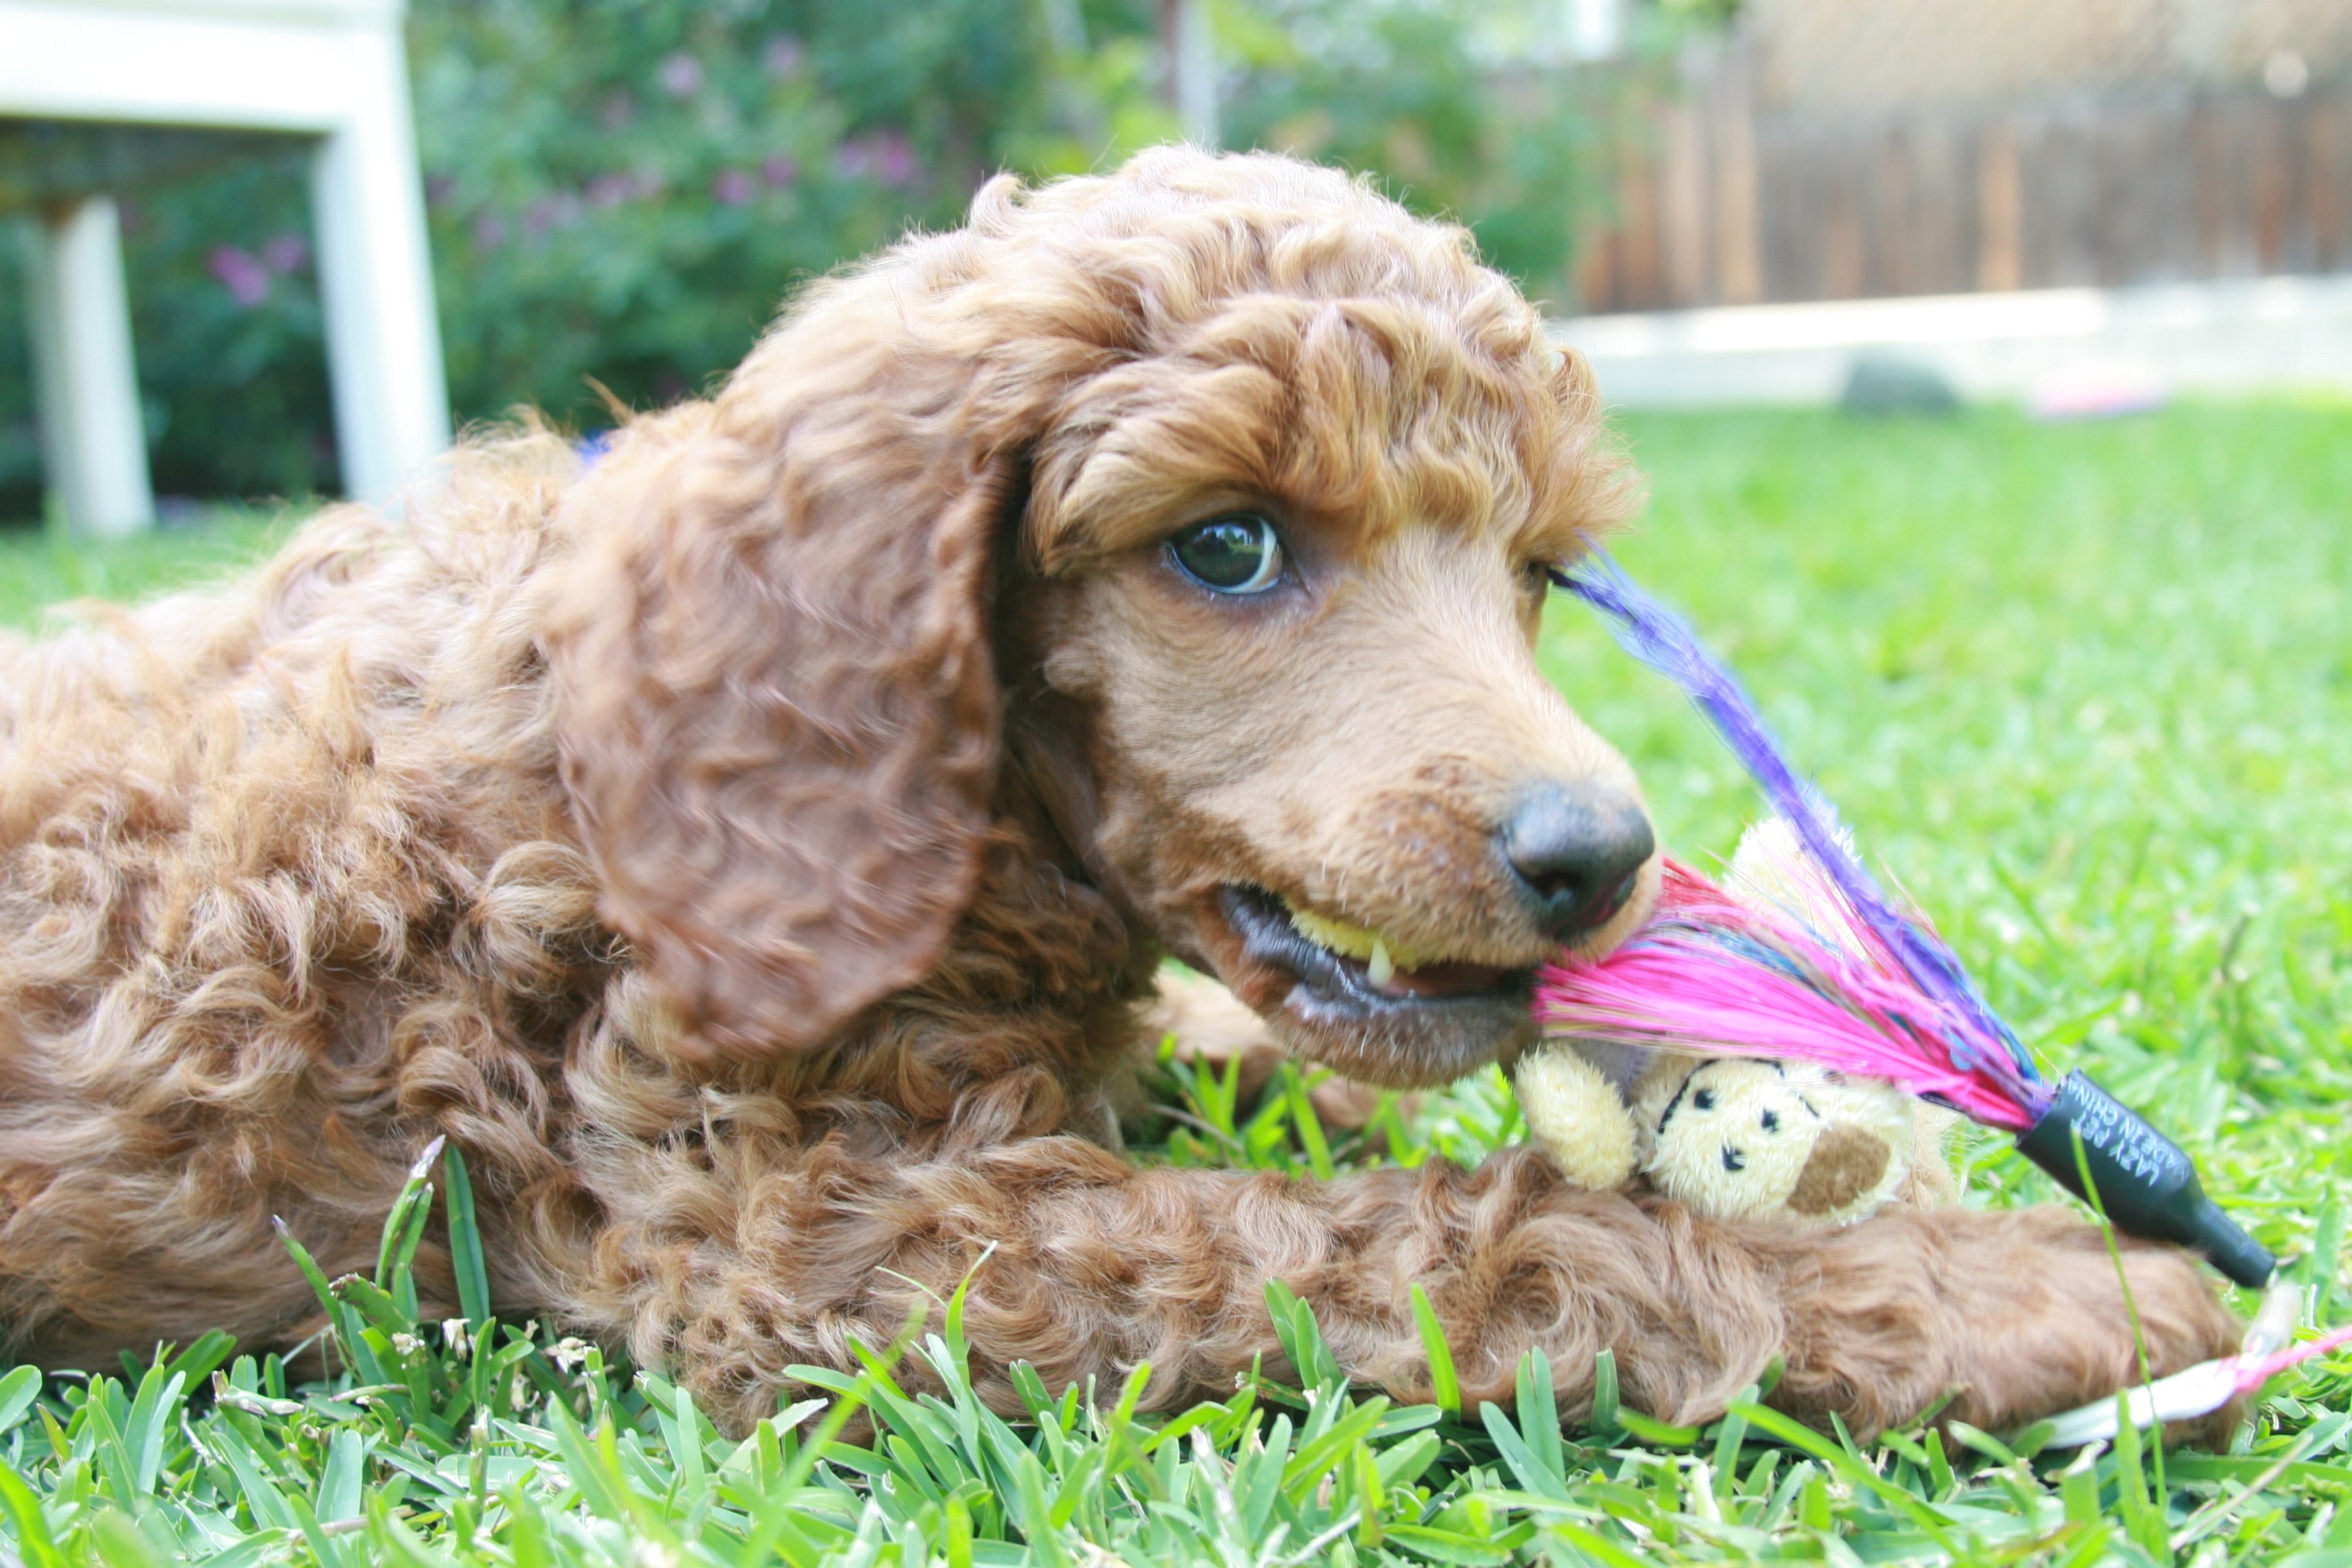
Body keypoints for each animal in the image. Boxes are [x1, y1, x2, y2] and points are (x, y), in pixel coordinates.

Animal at [0, 146, 2239, 1439]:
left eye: (1530, 570)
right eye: (1227, 546)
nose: (1598, 859)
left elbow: (1295, 1092)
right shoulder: (806, 1235)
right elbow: (1437, 1244)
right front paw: (2049, 1288)